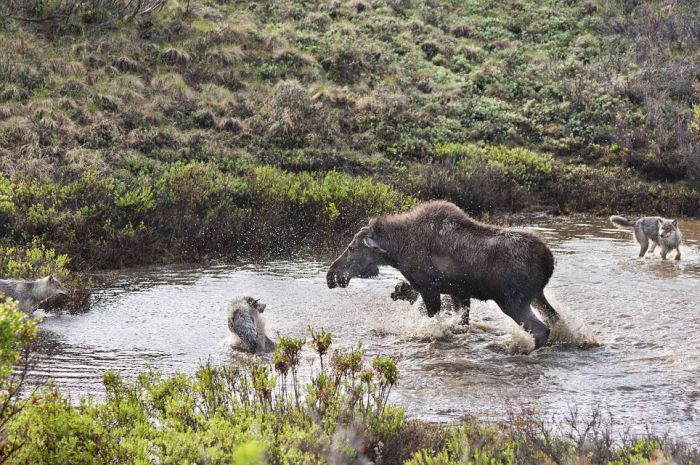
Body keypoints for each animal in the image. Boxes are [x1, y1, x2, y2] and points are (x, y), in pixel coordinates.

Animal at [326, 199, 560, 348]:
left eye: (351, 248)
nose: (331, 275)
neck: (397, 251)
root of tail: (548, 260)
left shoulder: (428, 288)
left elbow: (433, 321)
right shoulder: (459, 292)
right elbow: (462, 322)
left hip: (512, 301)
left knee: (541, 330)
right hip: (537, 295)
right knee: (554, 319)